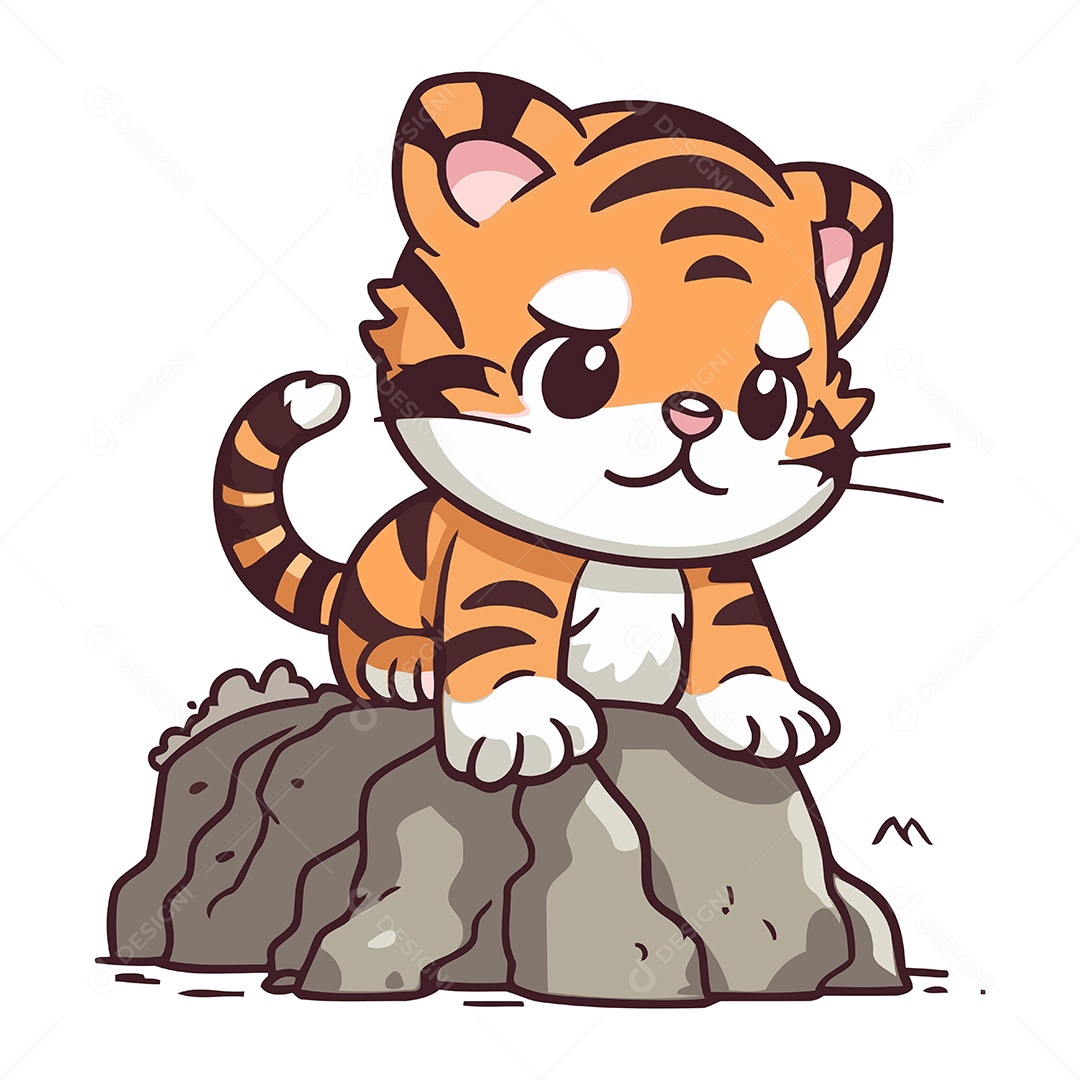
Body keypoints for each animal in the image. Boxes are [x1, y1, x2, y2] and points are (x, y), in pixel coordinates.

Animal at [214, 72, 892, 789]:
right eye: (578, 367)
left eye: (770, 395)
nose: (694, 414)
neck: (628, 558)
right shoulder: (502, 565)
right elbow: (503, 631)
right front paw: (520, 722)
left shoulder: (720, 576)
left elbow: (742, 632)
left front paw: (764, 705)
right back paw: (407, 664)